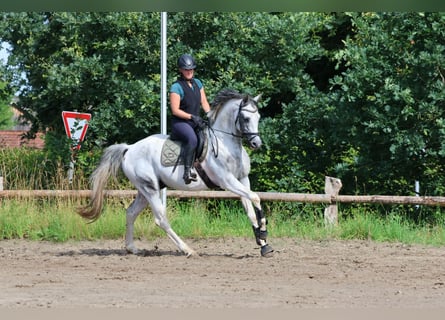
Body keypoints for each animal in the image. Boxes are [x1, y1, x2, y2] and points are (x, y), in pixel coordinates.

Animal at [78, 88, 272, 258]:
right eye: (245, 118)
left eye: (258, 117)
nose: (256, 143)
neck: (226, 143)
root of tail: (129, 148)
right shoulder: (227, 181)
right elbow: (256, 197)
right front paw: (263, 232)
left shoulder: (242, 179)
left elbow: (250, 210)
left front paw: (263, 244)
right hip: (150, 189)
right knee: (161, 219)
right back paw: (188, 250)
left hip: (145, 189)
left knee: (131, 212)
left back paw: (132, 248)